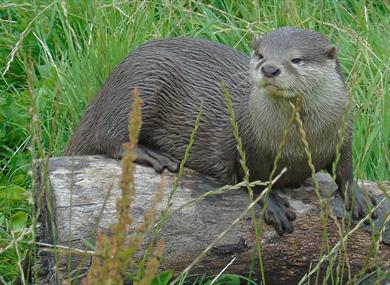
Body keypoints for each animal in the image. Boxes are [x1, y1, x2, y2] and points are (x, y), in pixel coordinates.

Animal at [65, 27, 376, 235]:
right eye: (260, 55)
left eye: (297, 59)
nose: (270, 68)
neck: (300, 141)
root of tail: (103, 93)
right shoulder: (249, 145)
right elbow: (255, 178)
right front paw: (273, 205)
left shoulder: (343, 133)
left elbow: (345, 170)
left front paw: (358, 197)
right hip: (140, 83)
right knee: (110, 136)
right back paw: (153, 155)